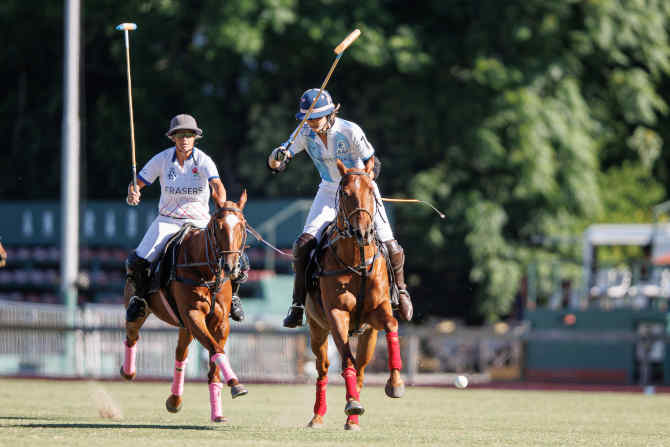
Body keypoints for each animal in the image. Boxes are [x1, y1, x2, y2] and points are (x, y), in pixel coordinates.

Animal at [120, 191, 249, 422]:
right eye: (218, 226)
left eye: (242, 226)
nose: (230, 267)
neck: (205, 269)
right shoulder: (193, 314)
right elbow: (215, 349)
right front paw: (236, 384)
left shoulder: (219, 322)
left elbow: (215, 361)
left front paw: (218, 412)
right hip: (144, 308)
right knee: (132, 332)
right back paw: (128, 371)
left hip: (184, 325)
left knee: (180, 354)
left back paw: (174, 401)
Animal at [304, 159, 404, 432]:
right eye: (346, 193)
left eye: (371, 191)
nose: (363, 232)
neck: (356, 262)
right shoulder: (337, 314)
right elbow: (345, 361)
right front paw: (352, 404)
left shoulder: (378, 310)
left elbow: (392, 324)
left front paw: (396, 384)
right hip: (317, 328)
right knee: (324, 369)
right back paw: (319, 416)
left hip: (369, 334)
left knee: (360, 368)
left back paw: (353, 420)